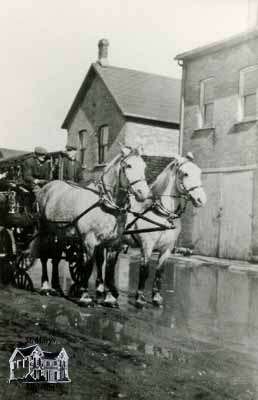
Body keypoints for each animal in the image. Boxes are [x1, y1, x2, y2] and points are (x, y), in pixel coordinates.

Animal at [32, 145, 149, 304]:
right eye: (129, 166)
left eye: (144, 166)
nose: (144, 194)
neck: (106, 204)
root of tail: (48, 186)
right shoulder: (89, 240)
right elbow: (88, 266)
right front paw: (85, 296)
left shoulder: (113, 243)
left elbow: (109, 269)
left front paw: (110, 298)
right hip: (45, 230)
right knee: (44, 256)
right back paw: (45, 286)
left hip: (61, 233)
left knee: (55, 258)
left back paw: (57, 287)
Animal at [95, 153, 207, 306]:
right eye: (185, 174)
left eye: (199, 172)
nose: (202, 199)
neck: (163, 215)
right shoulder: (147, 246)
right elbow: (145, 270)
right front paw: (140, 298)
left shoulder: (167, 249)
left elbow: (160, 271)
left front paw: (156, 297)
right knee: (101, 260)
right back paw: (101, 288)